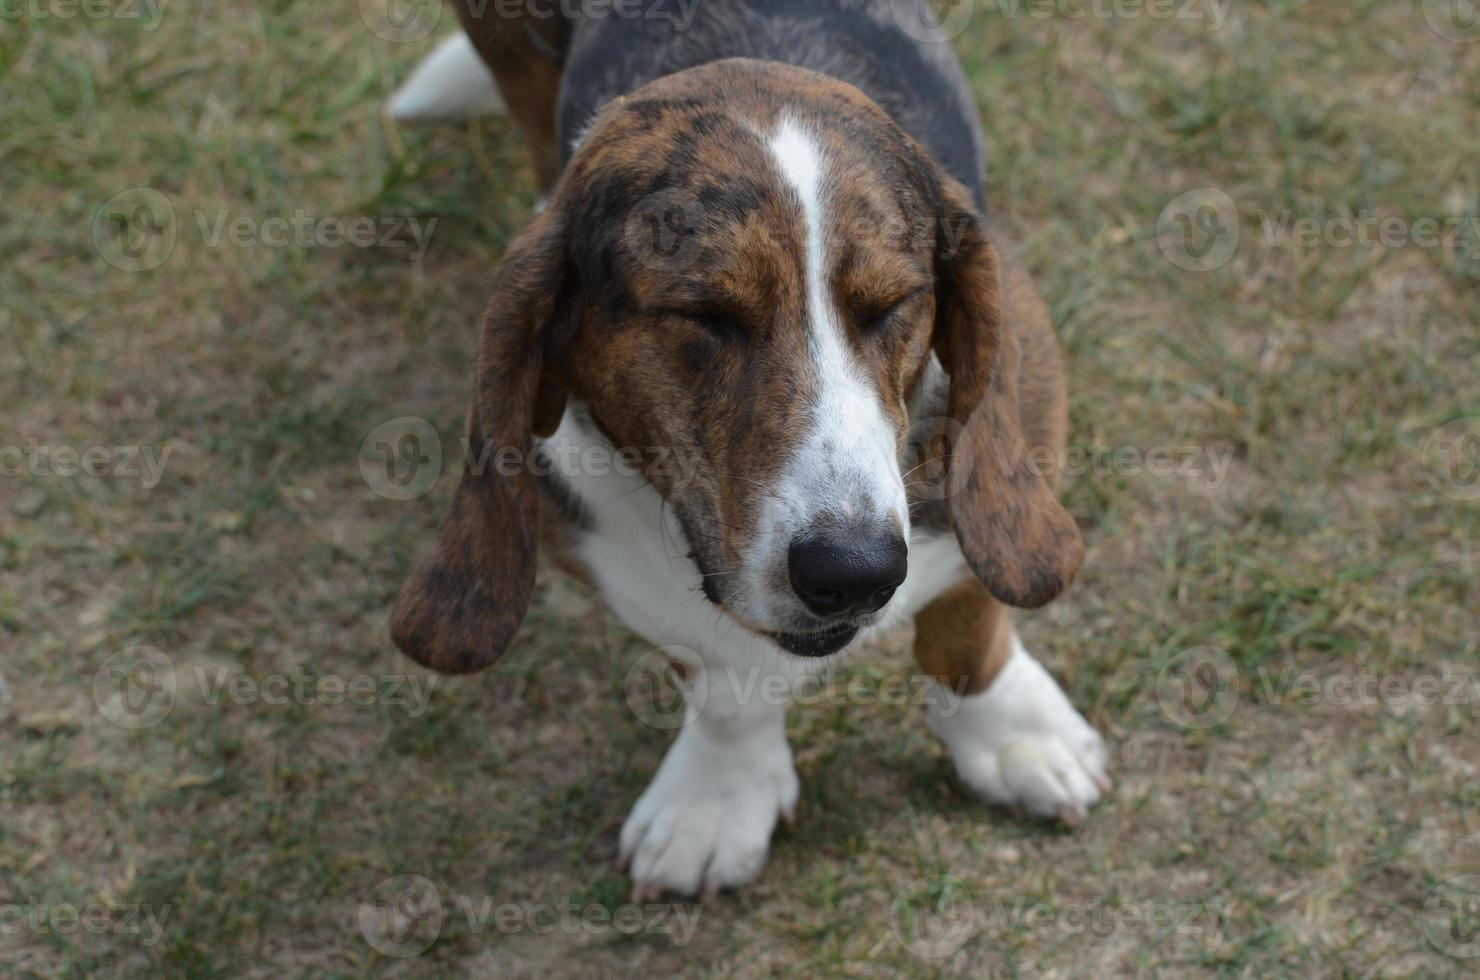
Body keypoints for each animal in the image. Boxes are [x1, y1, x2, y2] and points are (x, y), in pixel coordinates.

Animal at [387, 0, 1107, 900]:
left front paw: (1012, 734)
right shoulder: (611, 553)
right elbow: (721, 687)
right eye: (705, 315)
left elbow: (969, 617)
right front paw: (715, 802)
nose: (855, 574)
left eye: (891, 305)